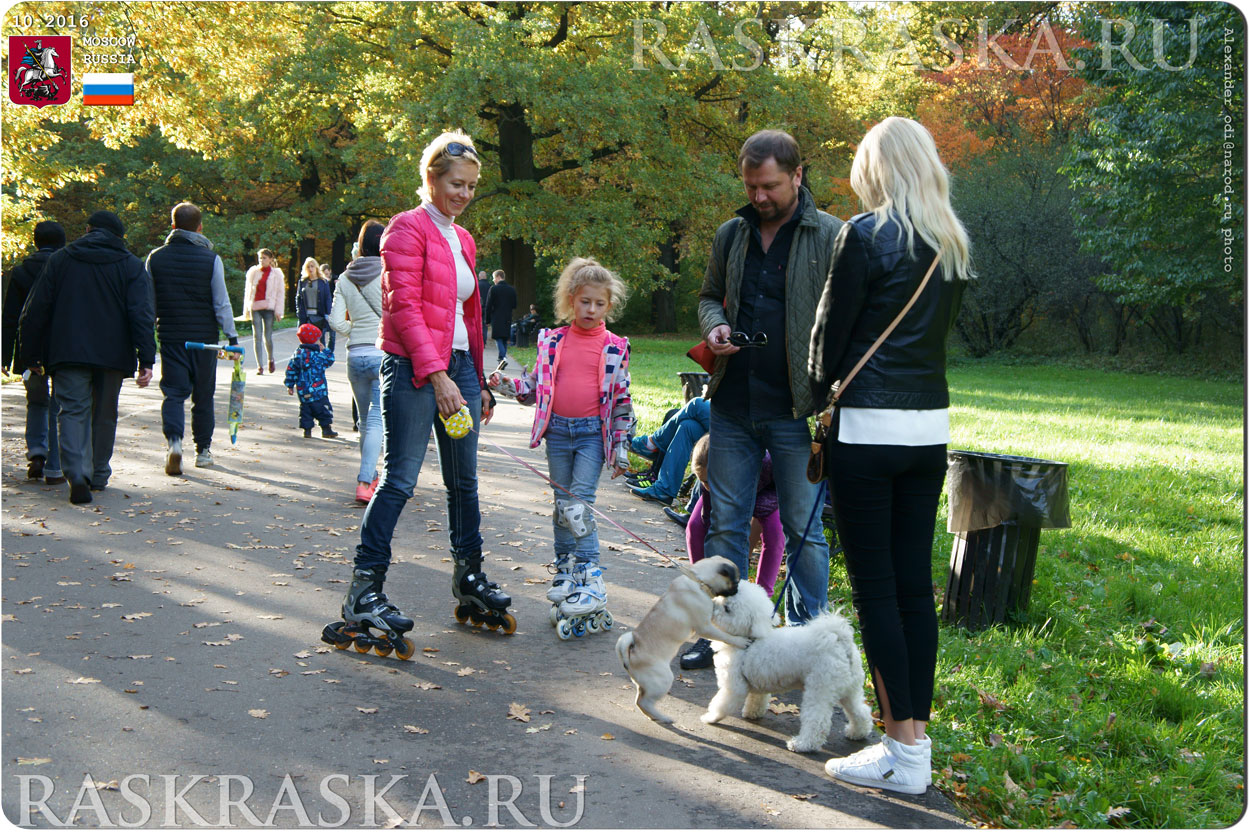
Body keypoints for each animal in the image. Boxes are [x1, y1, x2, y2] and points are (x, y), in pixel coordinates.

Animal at [700, 579, 875, 749]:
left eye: (727, 608)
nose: (712, 603)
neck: (749, 639)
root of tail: (839, 640)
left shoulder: (734, 686)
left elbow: (721, 704)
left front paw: (710, 717)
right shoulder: (758, 680)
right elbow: (757, 699)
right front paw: (752, 713)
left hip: (820, 689)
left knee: (817, 721)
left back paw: (802, 744)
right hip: (850, 688)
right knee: (860, 711)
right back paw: (858, 732)